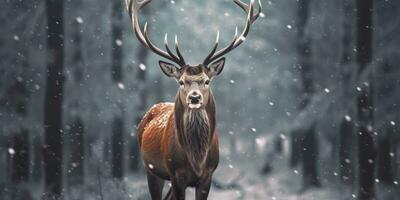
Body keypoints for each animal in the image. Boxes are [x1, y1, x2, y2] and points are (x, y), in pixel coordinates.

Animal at [125, 0, 260, 200]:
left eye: (207, 81)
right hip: (151, 169)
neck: (197, 161)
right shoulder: (175, 174)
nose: (194, 97)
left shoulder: (208, 176)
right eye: (181, 81)